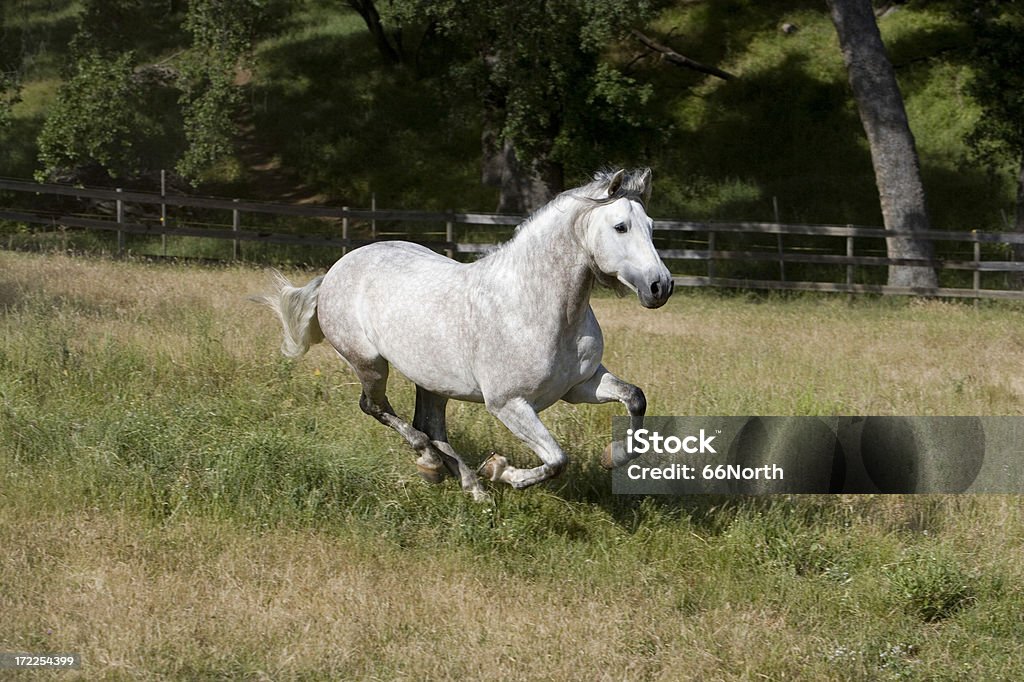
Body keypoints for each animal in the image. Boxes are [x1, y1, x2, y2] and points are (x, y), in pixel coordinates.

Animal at [256, 166, 671, 497]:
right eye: (620, 227)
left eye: (652, 227)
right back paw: (436, 466)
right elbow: (557, 460)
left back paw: (471, 487)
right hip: (369, 363)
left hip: (432, 381)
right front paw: (501, 472)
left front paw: (611, 458)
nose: (660, 286)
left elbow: (635, 398)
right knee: (378, 409)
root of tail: (338, 268)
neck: (534, 307)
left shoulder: (580, 386)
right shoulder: (508, 404)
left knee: (431, 426)